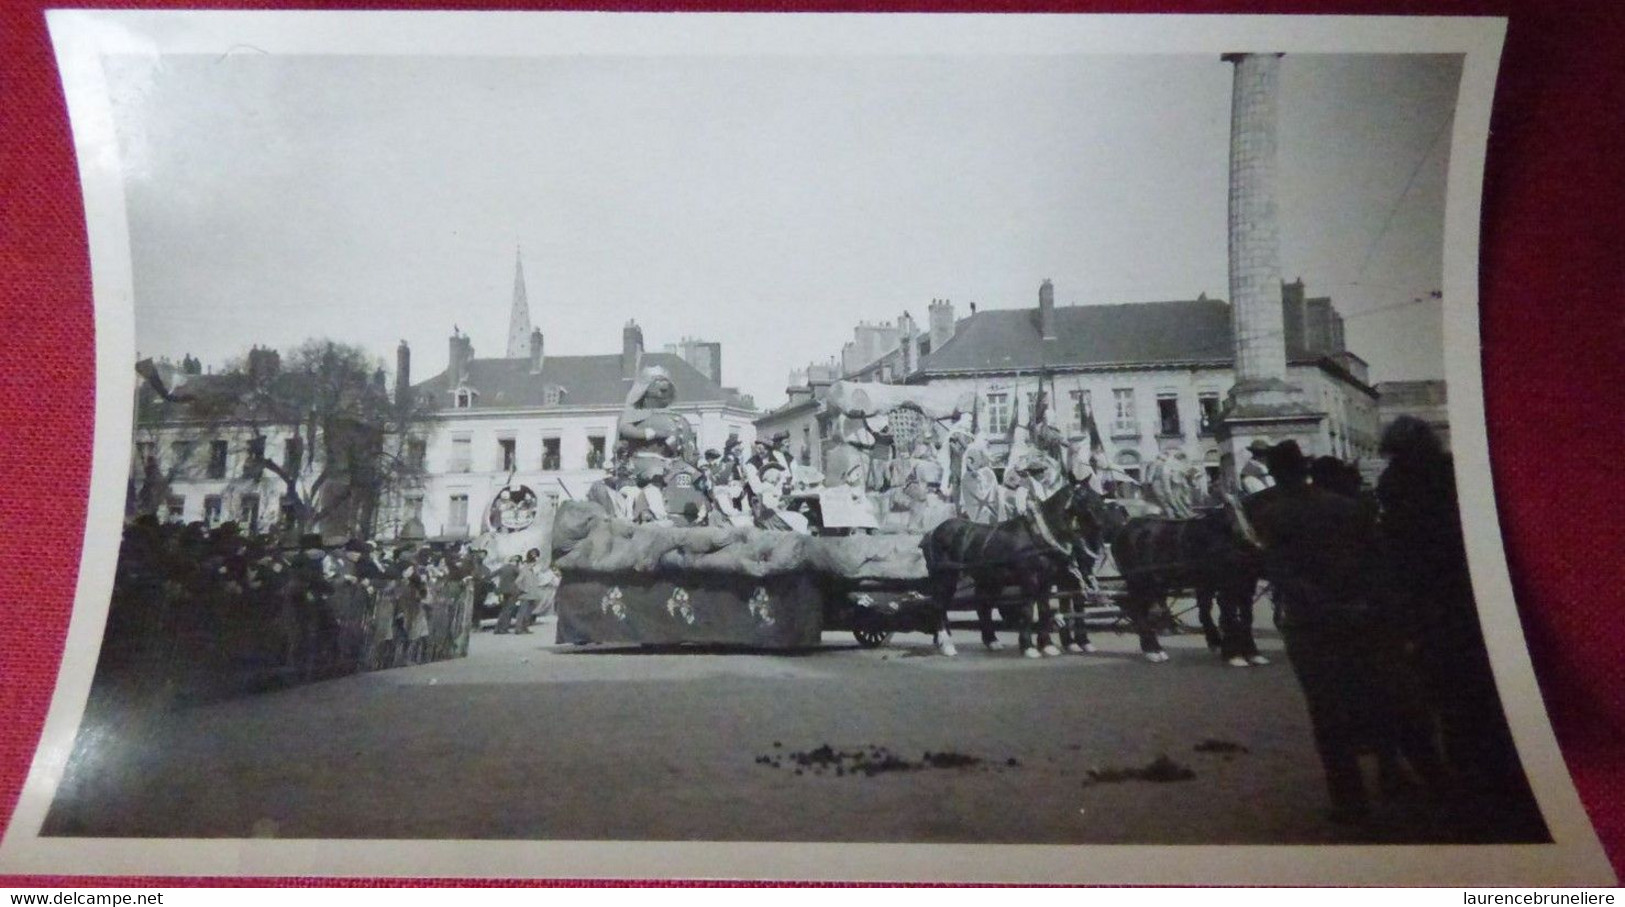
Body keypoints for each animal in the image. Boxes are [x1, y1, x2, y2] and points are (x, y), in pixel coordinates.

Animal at [929, 484, 1118, 659]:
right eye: (1086, 501)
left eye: (1101, 501)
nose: (1104, 530)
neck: (1039, 536)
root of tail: (936, 530)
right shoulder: (1031, 579)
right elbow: (1027, 611)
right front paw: (1028, 647)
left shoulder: (1047, 581)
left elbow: (1045, 610)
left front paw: (1048, 645)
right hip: (946, 577)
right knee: (939, 605)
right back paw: (946, 643)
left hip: (990, 580)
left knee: (983, 607)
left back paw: (991, 641)